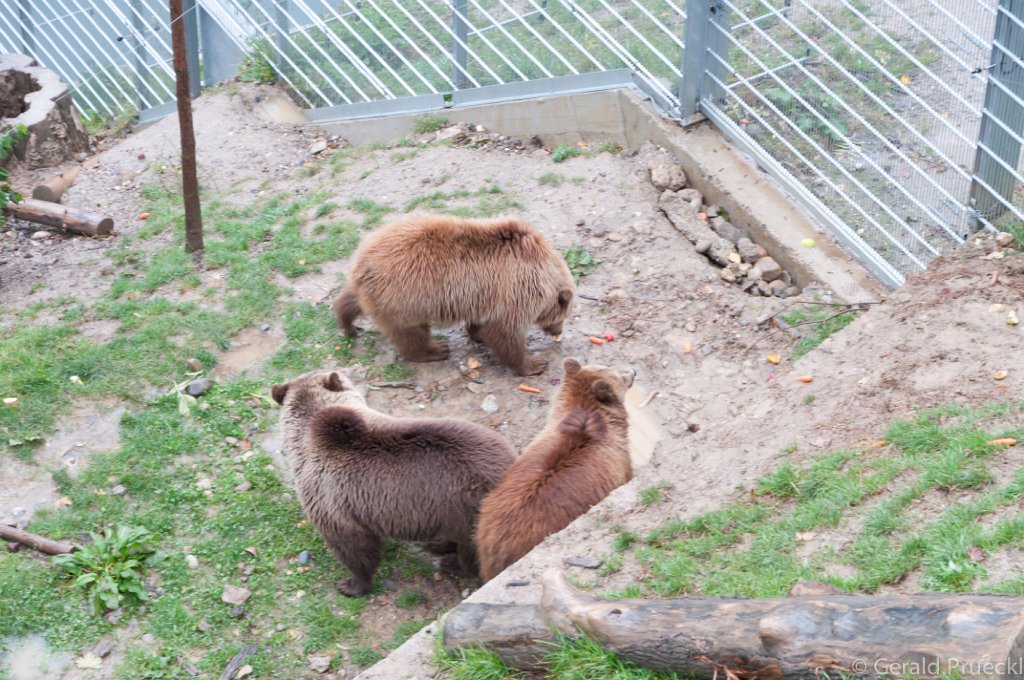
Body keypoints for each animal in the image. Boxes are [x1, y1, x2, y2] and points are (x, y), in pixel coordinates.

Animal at [271, 369, 516, 596]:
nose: (347, 371)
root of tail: (510, 464)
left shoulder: (330, 499)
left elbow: (353, 547)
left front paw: (351, 585)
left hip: (468, 508)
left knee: (475, 549)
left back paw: (452, 563)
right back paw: (439, 543)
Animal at [333, 215, 575, 376]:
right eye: (563, 316)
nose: (558, 331)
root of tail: (362, 263)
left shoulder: (486, 295)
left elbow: (485, 322)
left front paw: (477, 334)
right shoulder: (515, 291)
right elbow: (506, 333)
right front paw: (534, 364)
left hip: (374, 291)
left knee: (349, 301)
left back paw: (349, 325)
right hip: (403, 298)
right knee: (411, 333)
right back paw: (436, 349)